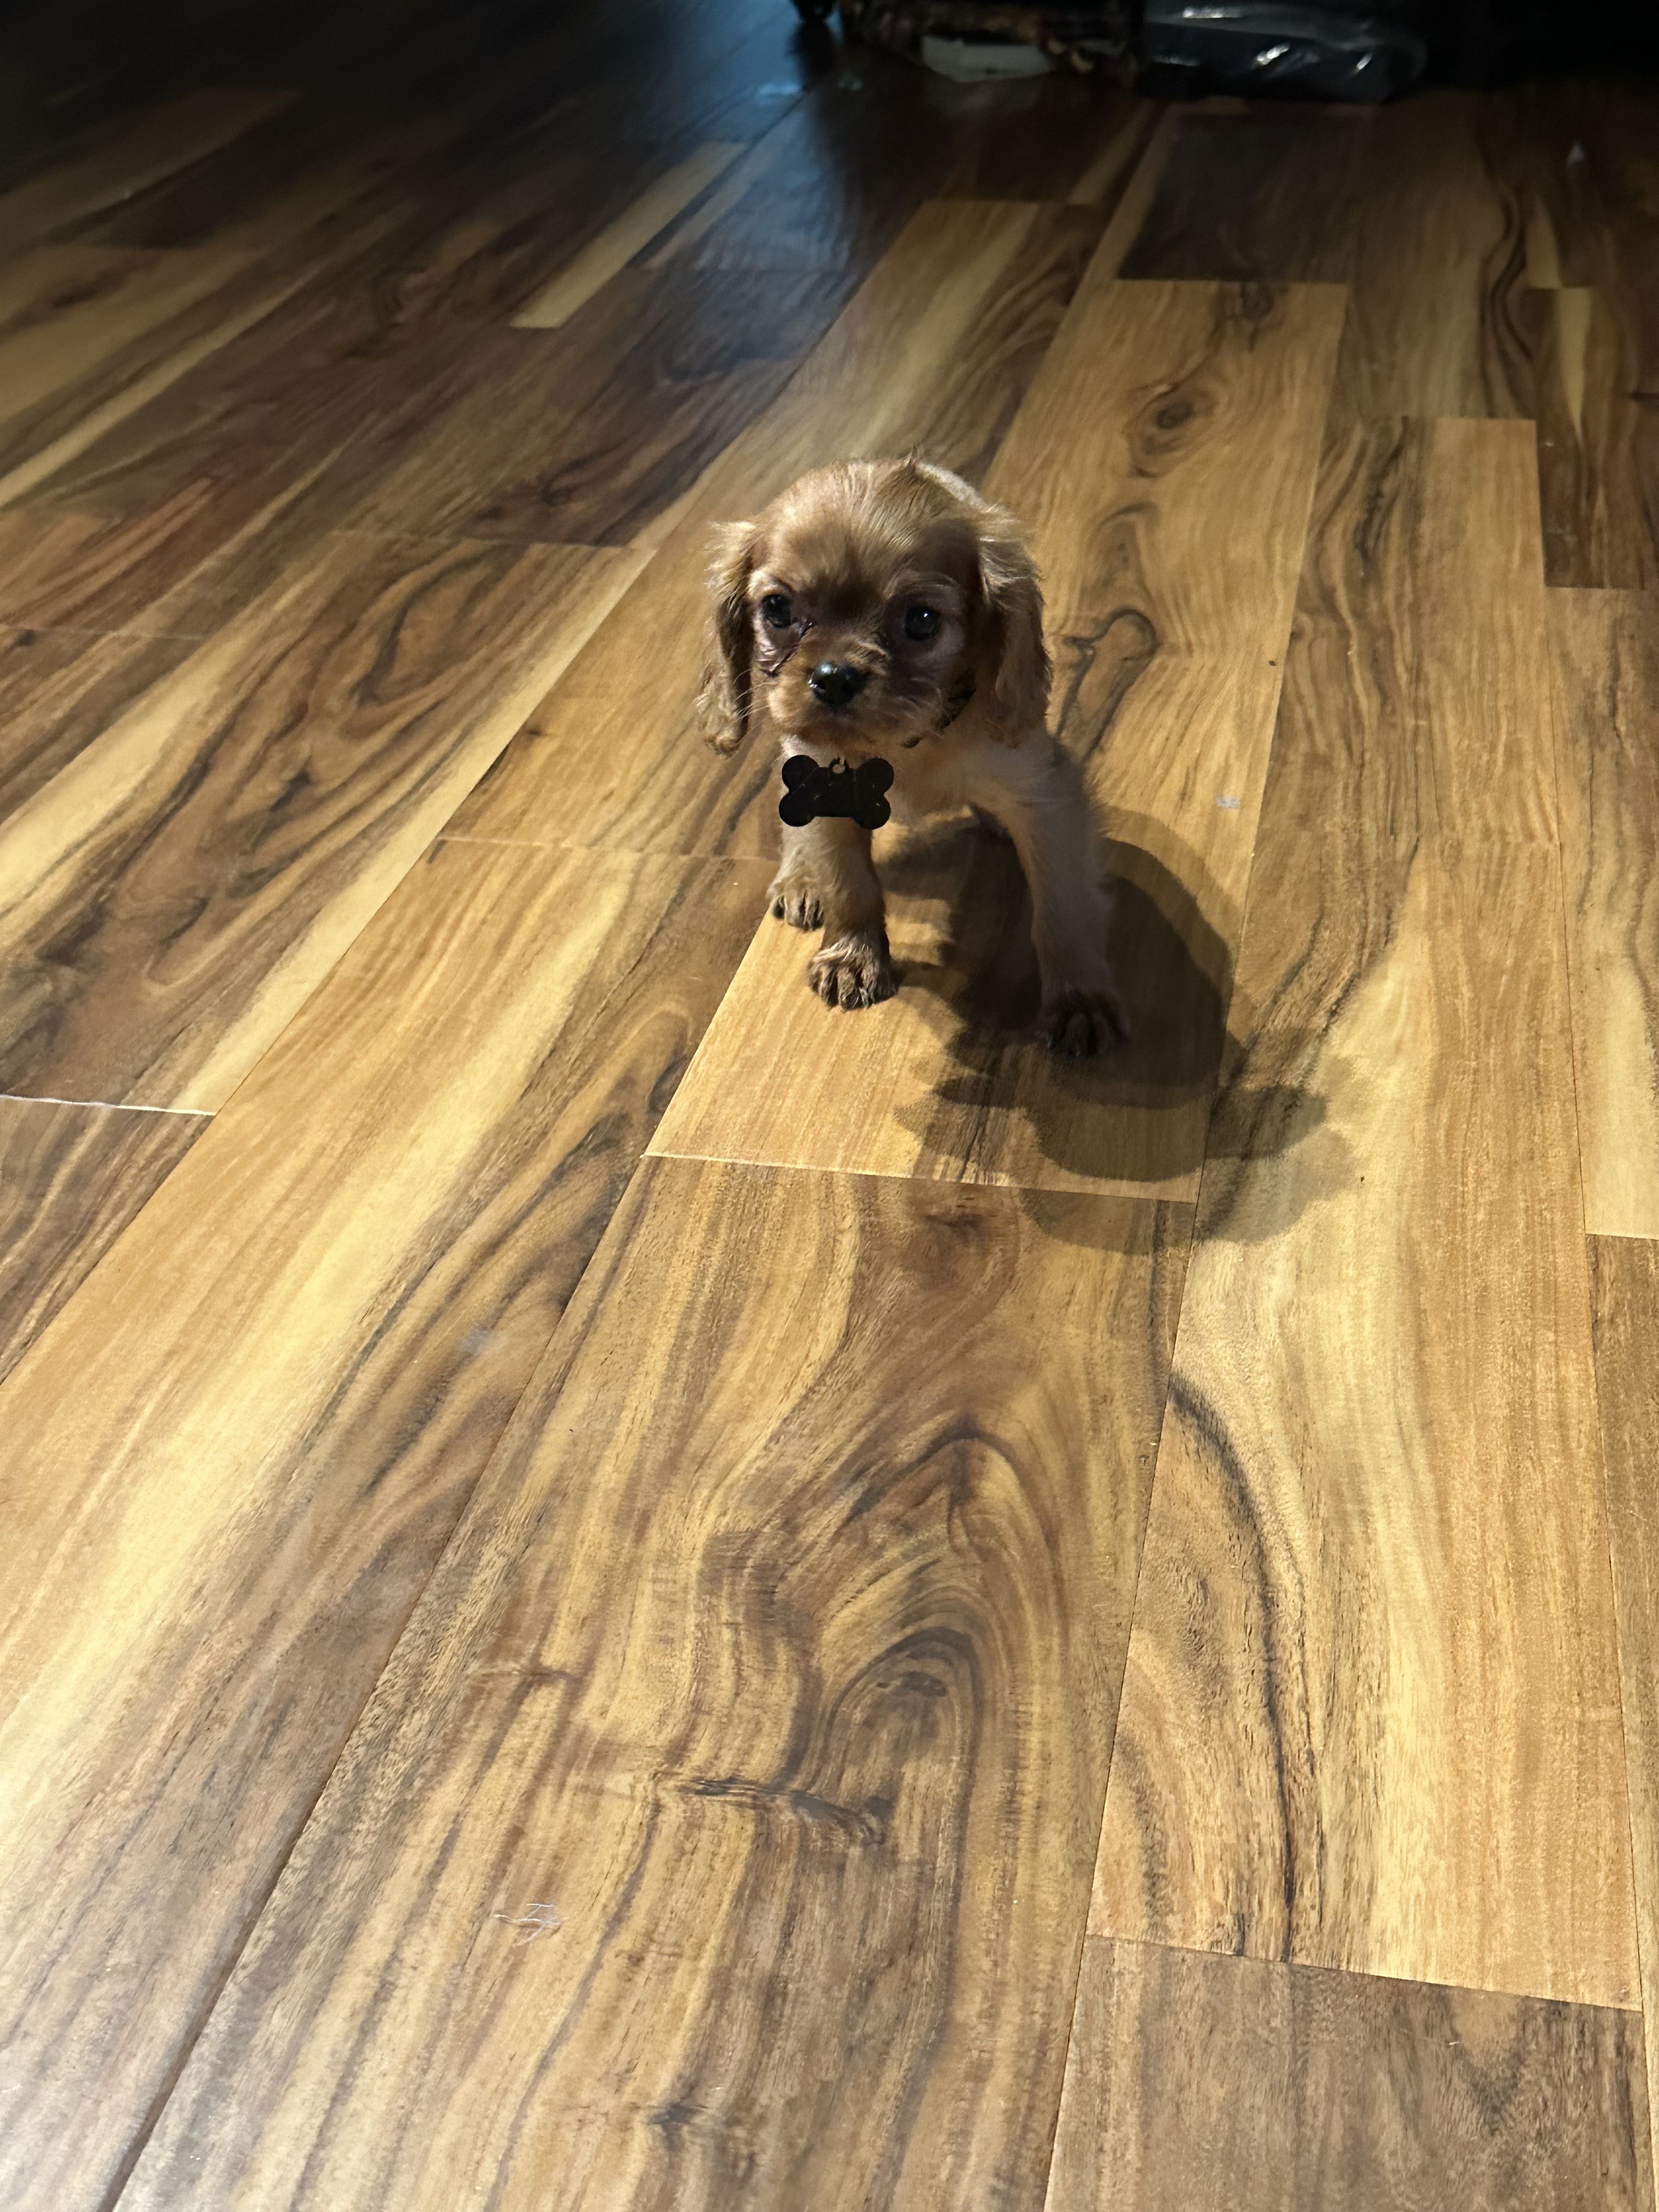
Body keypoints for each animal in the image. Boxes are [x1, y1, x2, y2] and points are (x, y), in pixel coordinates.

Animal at [697, 455, 1128, 1056]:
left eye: (922, 621)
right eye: (777, 608)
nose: (834, 677)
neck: (901, 744)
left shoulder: (1046, 800)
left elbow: (1063, 910)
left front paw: (1079, 1000)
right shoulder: (823, 786)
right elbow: (849, 882)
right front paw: (853, 955)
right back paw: (800, 879)